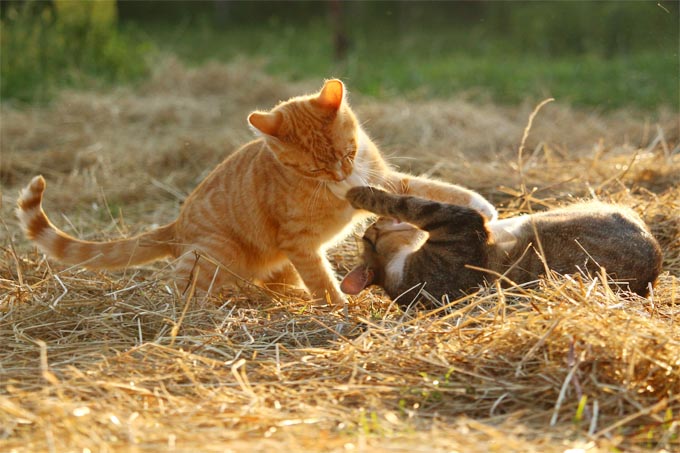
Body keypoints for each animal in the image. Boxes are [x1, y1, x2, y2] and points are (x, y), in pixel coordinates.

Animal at [15, 80, 494, 308]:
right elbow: (322, 279)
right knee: (185, 286)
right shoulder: (299, 242)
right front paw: (340, 307)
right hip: (214, 255)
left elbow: (429, 189)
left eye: (347, 152)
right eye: (314, 167)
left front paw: (484, 206)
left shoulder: (381, 177)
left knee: (278, 281)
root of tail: (177, 225)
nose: (341, 173)